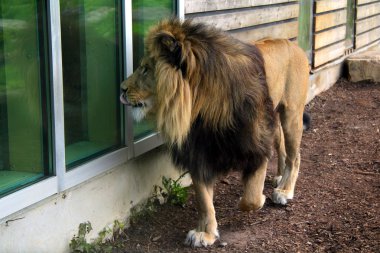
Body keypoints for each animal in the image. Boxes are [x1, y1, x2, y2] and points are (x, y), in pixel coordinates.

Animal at [120, 18, 310, 247]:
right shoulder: (197, 152)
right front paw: (206, 233)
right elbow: (203, 200)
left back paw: (284, 190)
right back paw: (280, 177)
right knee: (282, 146)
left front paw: (260, 199)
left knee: (295, 156)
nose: (121, 88)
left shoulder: (256, 144)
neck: (201, 108)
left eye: (146, 69)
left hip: (291, 114)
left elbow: (251, 198)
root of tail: (291, 43)